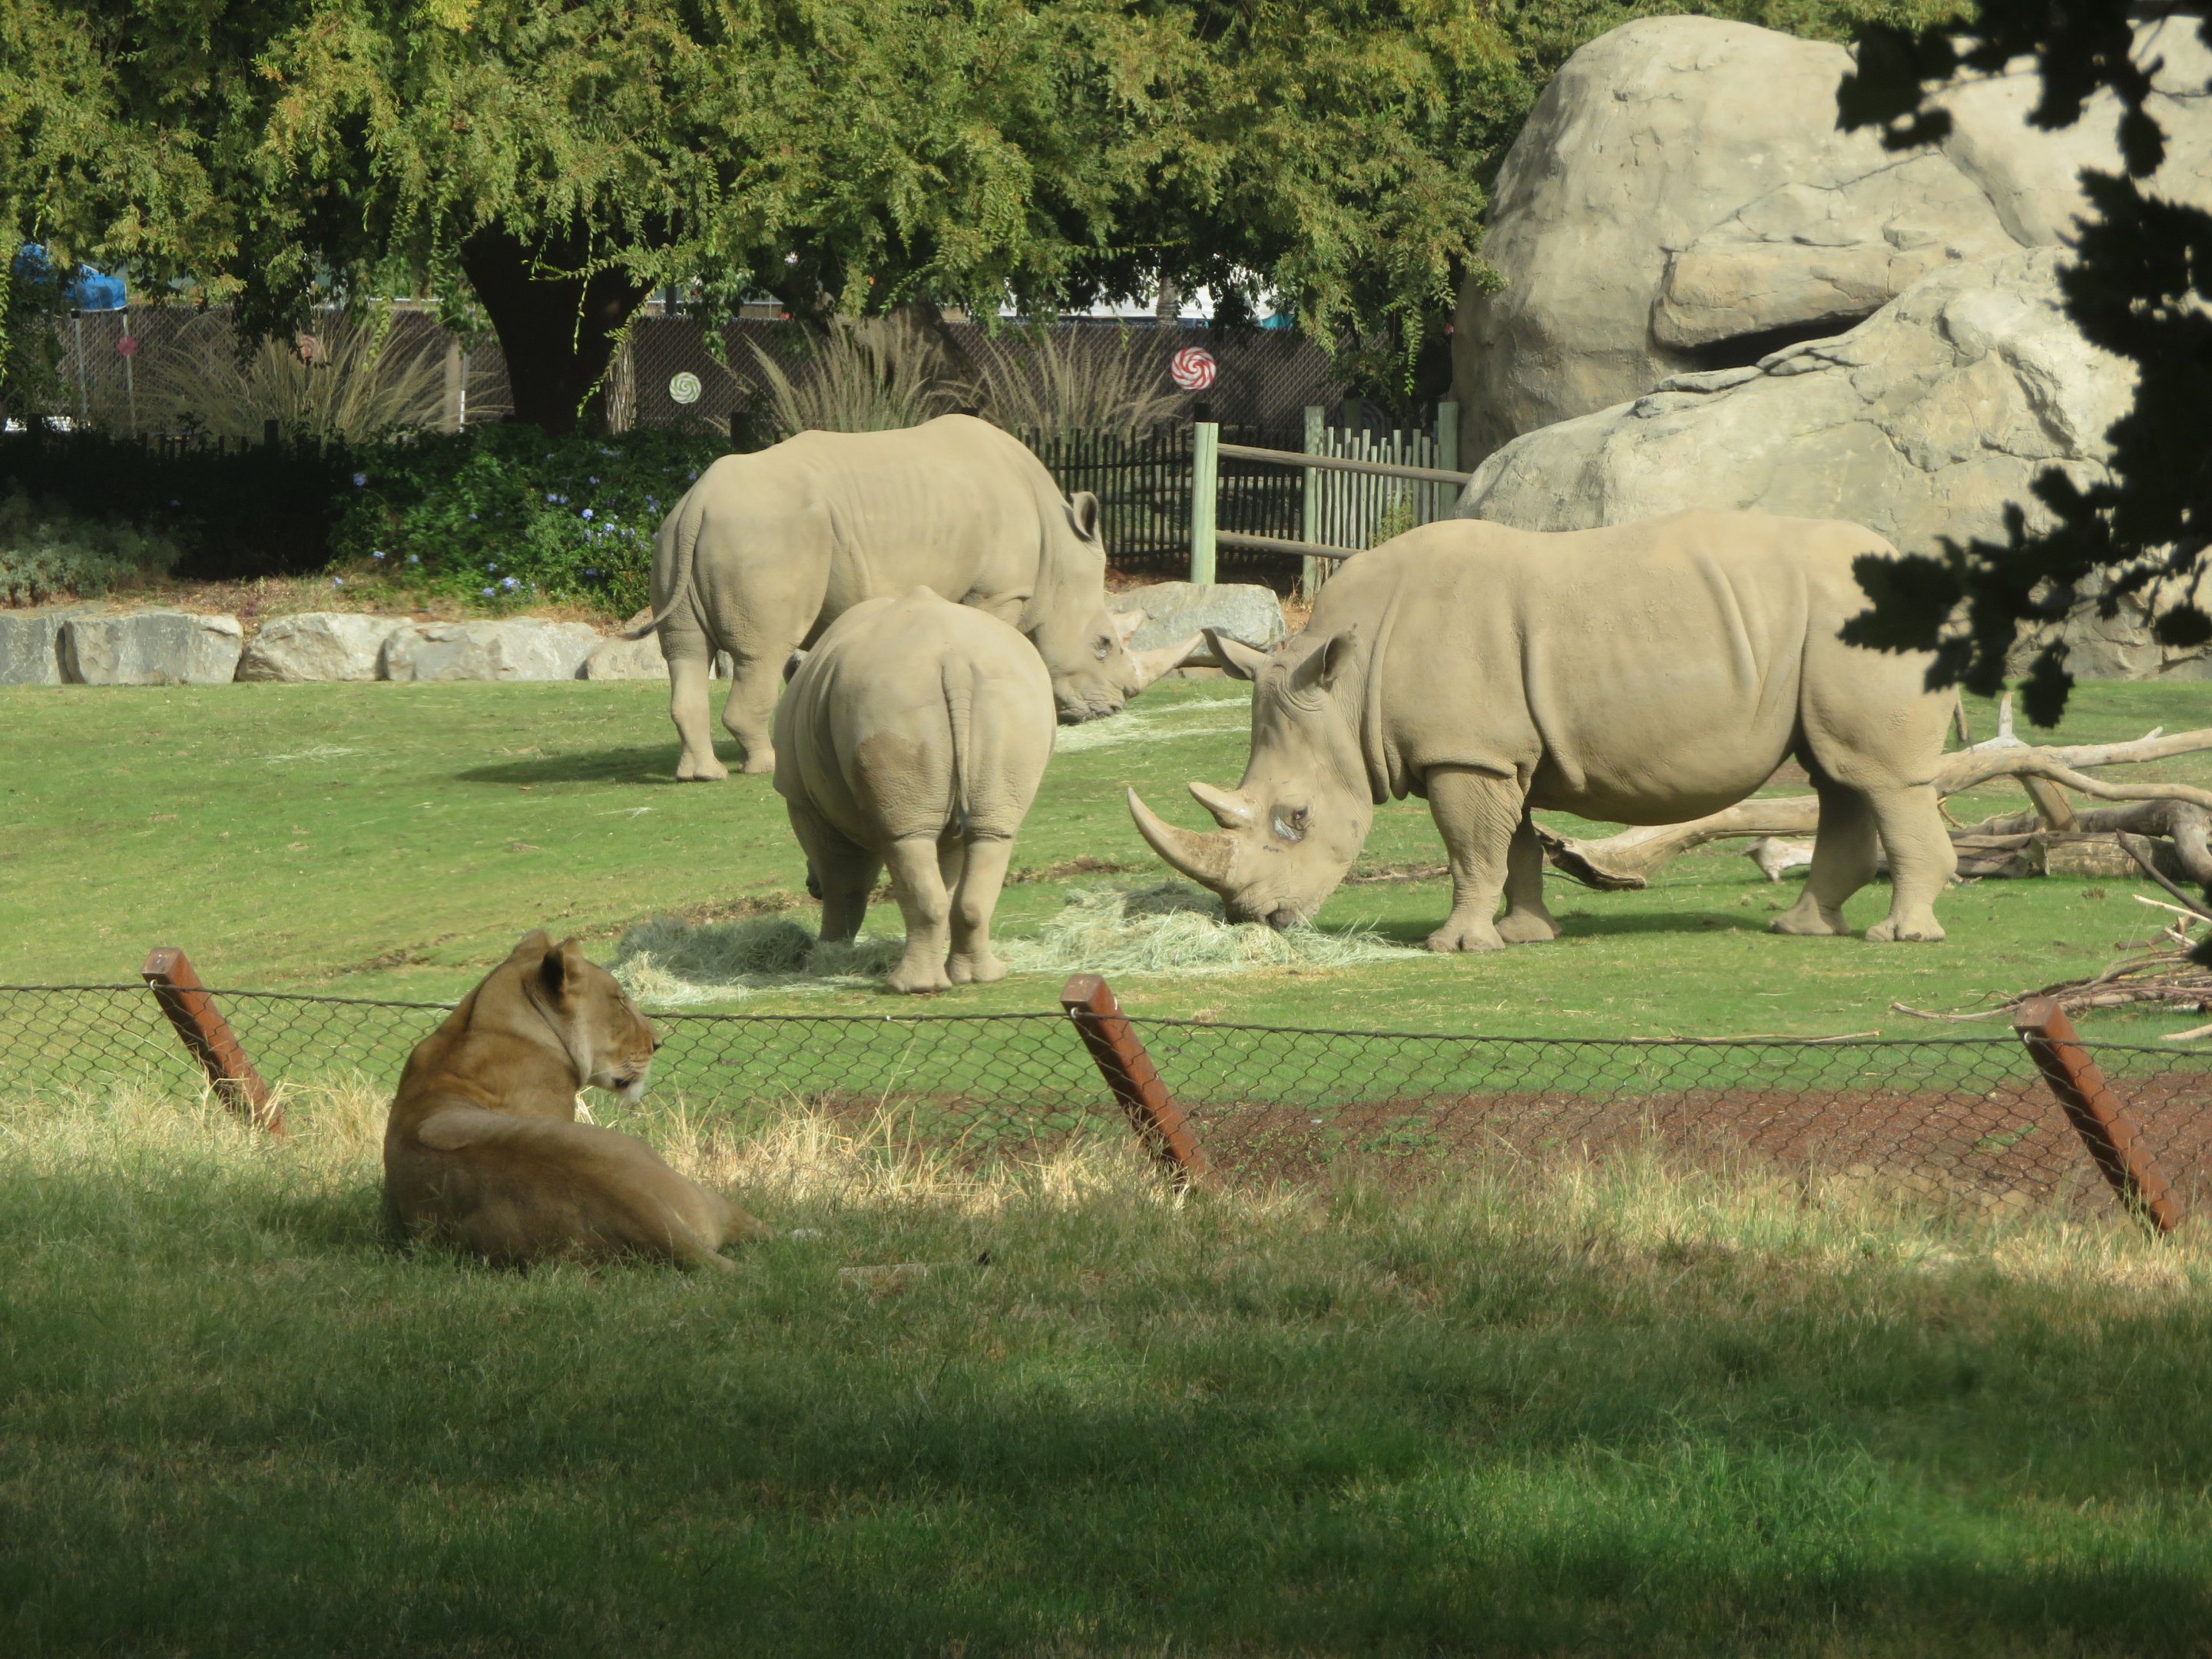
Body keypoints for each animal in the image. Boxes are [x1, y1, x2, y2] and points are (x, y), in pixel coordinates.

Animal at [629, 414, 1193, 780]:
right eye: (1103, 644)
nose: (1111, 710)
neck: (1057, 552)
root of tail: (698, 503)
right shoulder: (999, 592)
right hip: (766, 536)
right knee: (761, 654)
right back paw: (762, 768)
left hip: (678, 536)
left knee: (684, 652)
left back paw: (702, 775)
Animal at [774, 588, 1057, 994]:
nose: (810, 886)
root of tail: (954, 661)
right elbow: (947, 872)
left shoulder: (802, 798)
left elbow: (844, 881)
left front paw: (823, 959)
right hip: (1011, 705)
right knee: (990, 833)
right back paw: (979, 977)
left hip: (884, 703)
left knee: (905, 838)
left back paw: (909, 987)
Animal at [1127, 511, 1958, 947]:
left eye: (1295, 819)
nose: (1255, 920)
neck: (1346, 685)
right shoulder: (1497, 753)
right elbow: (1516, 844)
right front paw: (1527, 935)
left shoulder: (1467, 756)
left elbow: (1470, 849)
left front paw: (1454, 946)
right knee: (1839, 775)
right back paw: (1801, 929)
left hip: (1861, 625)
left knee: (1880, 779)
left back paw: (1899, 937)